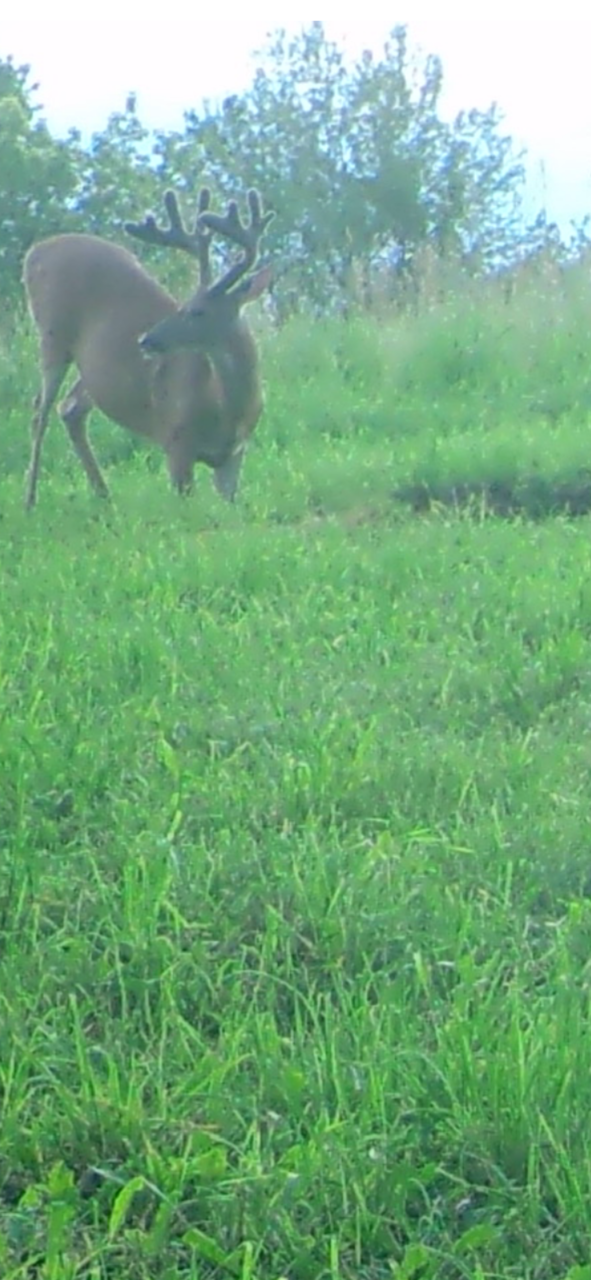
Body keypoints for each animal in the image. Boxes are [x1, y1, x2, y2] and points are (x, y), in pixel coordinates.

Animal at [23, 185, 274, 509]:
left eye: (196, 311)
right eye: (183, 304)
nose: (146, 339)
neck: (225, 406)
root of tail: (34, 252)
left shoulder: (234, 454)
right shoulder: (176, 441)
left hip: (91, 366)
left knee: (71, 407)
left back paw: (104, 495)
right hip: (53, 334)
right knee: (39, 411)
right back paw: (30, 502)